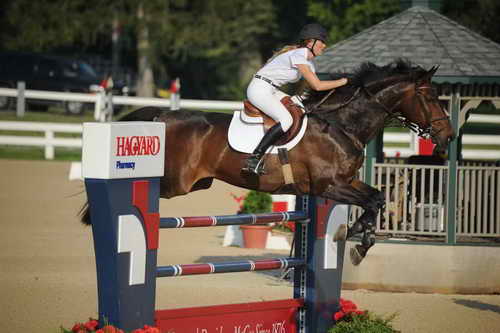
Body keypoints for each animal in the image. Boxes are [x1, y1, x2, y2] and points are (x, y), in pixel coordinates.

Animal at [80, 58, 456, 264]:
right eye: (429, 97)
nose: (449, 136)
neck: (341, 124)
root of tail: (162, 116)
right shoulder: (329, 186)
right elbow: (372, 202)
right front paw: (357, 237)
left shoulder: (345, 183)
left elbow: (376, 198)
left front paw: (360, 240)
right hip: (175, 184)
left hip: (195, 183)